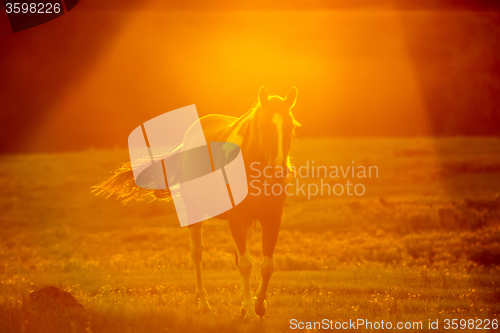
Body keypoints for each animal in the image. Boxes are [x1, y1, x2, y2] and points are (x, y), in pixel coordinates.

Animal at [93, 85, 300, 320]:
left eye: (291, 127)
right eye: (263, 126)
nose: (279, 172)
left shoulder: (272, 218)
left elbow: (267, 266)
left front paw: (258, 305)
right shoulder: (236, 218)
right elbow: (246, 264)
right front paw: (249, 310)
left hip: (249, 223)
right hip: (196, 214)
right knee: (197, 254)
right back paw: (203, 304)